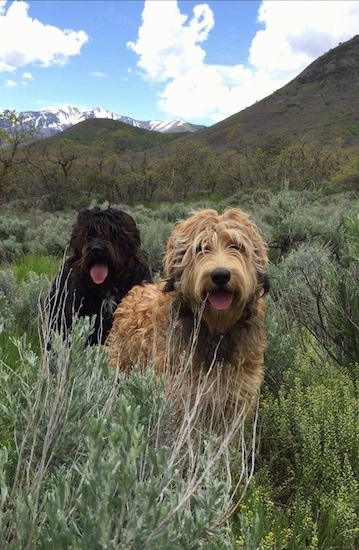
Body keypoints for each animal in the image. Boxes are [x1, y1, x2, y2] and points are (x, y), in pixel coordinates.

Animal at [107, 209, 270, 430]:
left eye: (236, 246)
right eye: (200, 248)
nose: (220, 275)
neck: (216, 330)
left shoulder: (236, 400)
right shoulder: (181, 396)